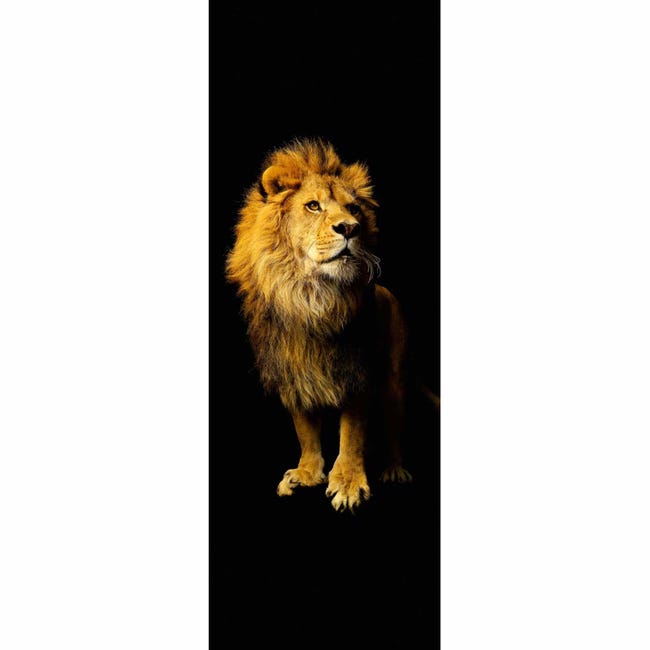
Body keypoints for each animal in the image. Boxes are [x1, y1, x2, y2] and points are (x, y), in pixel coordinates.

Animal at [226, 138, 415, 512]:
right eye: (313, 206)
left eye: (353, 209)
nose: (350, 228)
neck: (310, 297)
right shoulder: (291, 372)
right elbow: (305, 430)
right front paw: (307, 473)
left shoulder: (358, 370)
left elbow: (353, 433)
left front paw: (349, 483)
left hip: (394, 381)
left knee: (393, 428)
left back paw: (394, 469)